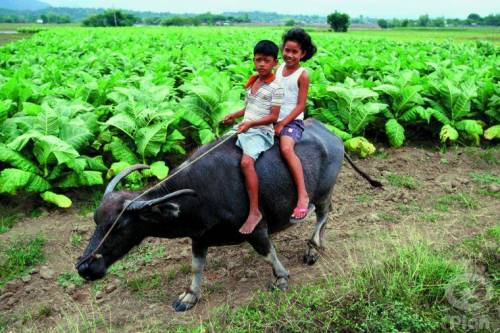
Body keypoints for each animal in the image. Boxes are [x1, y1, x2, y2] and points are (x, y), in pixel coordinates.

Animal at [75, 118, 378, 312]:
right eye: (97, 221)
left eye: (120, 226)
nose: (84, 267)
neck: (198, 193)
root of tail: (334, 136)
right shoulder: (199, 237)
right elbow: (197, 266)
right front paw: (189, 296)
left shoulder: (256, 229)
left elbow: (267, 252)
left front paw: (281, 278)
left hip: (323, 191)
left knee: (323, 214)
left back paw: (312, 249)